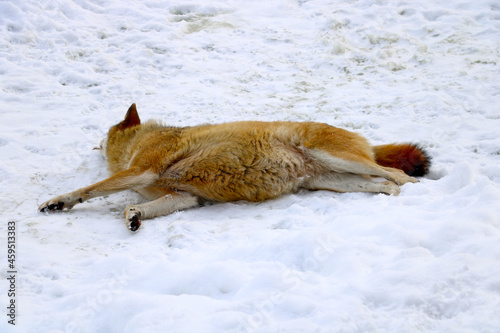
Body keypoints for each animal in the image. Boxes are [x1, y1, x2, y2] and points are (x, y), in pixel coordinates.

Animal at [39, 104, 430, 231]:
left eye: (104, 136)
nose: (94, 144)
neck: (142, 139)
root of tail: (366, 141)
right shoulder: (184, 198)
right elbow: (137, 208)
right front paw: (134, 216)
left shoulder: (141, 170)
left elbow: (90, 190)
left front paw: (58, 202)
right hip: (333, 181)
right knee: (389, 184)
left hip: (336, 158)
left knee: (402, 177)